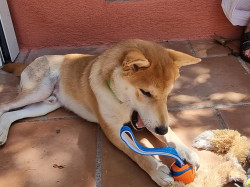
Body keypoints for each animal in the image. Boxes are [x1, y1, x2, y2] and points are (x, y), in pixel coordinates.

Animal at [0, 39, 200, 186]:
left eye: (168, 93)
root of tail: (33, 60)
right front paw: (156, 170)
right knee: (4, 106)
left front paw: (185, 150)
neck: (121, 101)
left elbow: (171, 136)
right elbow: (137, 154)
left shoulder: (151, 120)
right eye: (145, 92)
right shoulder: (113, 131)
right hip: (38, 90)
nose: (161, 129)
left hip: (48, 104)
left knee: (12, 114)